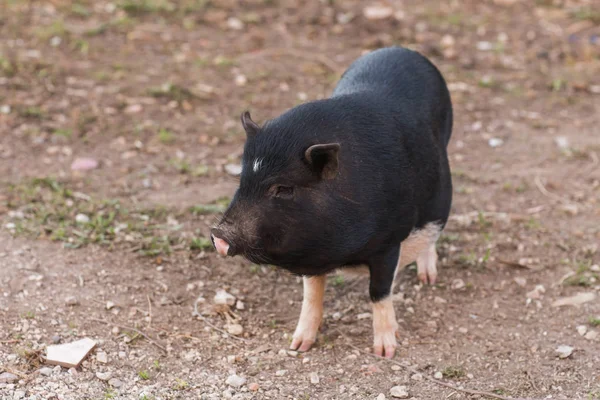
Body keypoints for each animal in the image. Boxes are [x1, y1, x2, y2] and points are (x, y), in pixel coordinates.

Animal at [211, 47, 450, 360]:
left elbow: (379, 291)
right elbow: (312, 294)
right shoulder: (311, 258)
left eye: (283, 188)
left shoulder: (388, 242)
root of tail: (402, 50)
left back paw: (427, 278)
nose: (219, 234)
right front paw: (297, 345)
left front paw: (385, 351)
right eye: (243, 179)